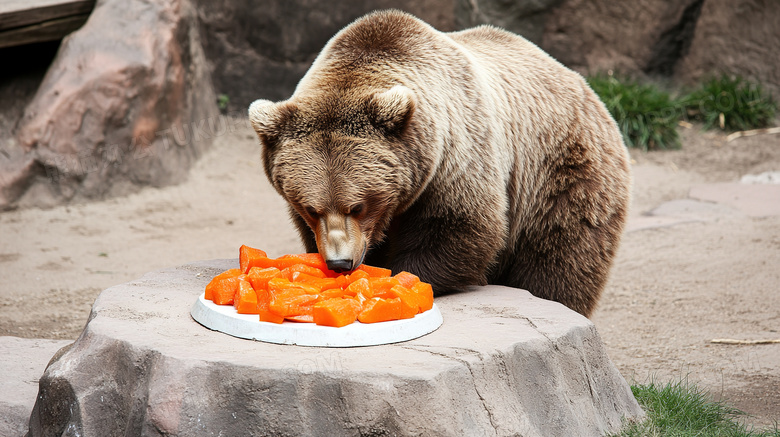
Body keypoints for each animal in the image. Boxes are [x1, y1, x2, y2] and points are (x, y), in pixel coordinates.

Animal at [247, 9, 632, 316]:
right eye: (311, 209)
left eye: (357, 206)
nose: (340, 262)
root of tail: (582, 85)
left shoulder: (454, 156)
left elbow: (460, 227)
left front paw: (399, 281)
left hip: (560, 174)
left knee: (559, 261)